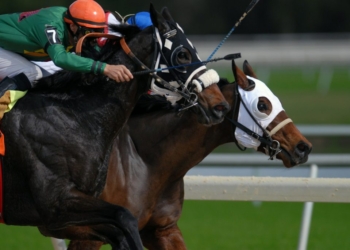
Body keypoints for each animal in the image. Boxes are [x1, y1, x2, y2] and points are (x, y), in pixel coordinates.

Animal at [0, 4, 230, 250]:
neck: (74, 116)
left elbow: (119, 230)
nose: (219, 106)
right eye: (182, 54)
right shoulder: (56, 204)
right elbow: (124, 217)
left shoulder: (69, 216)